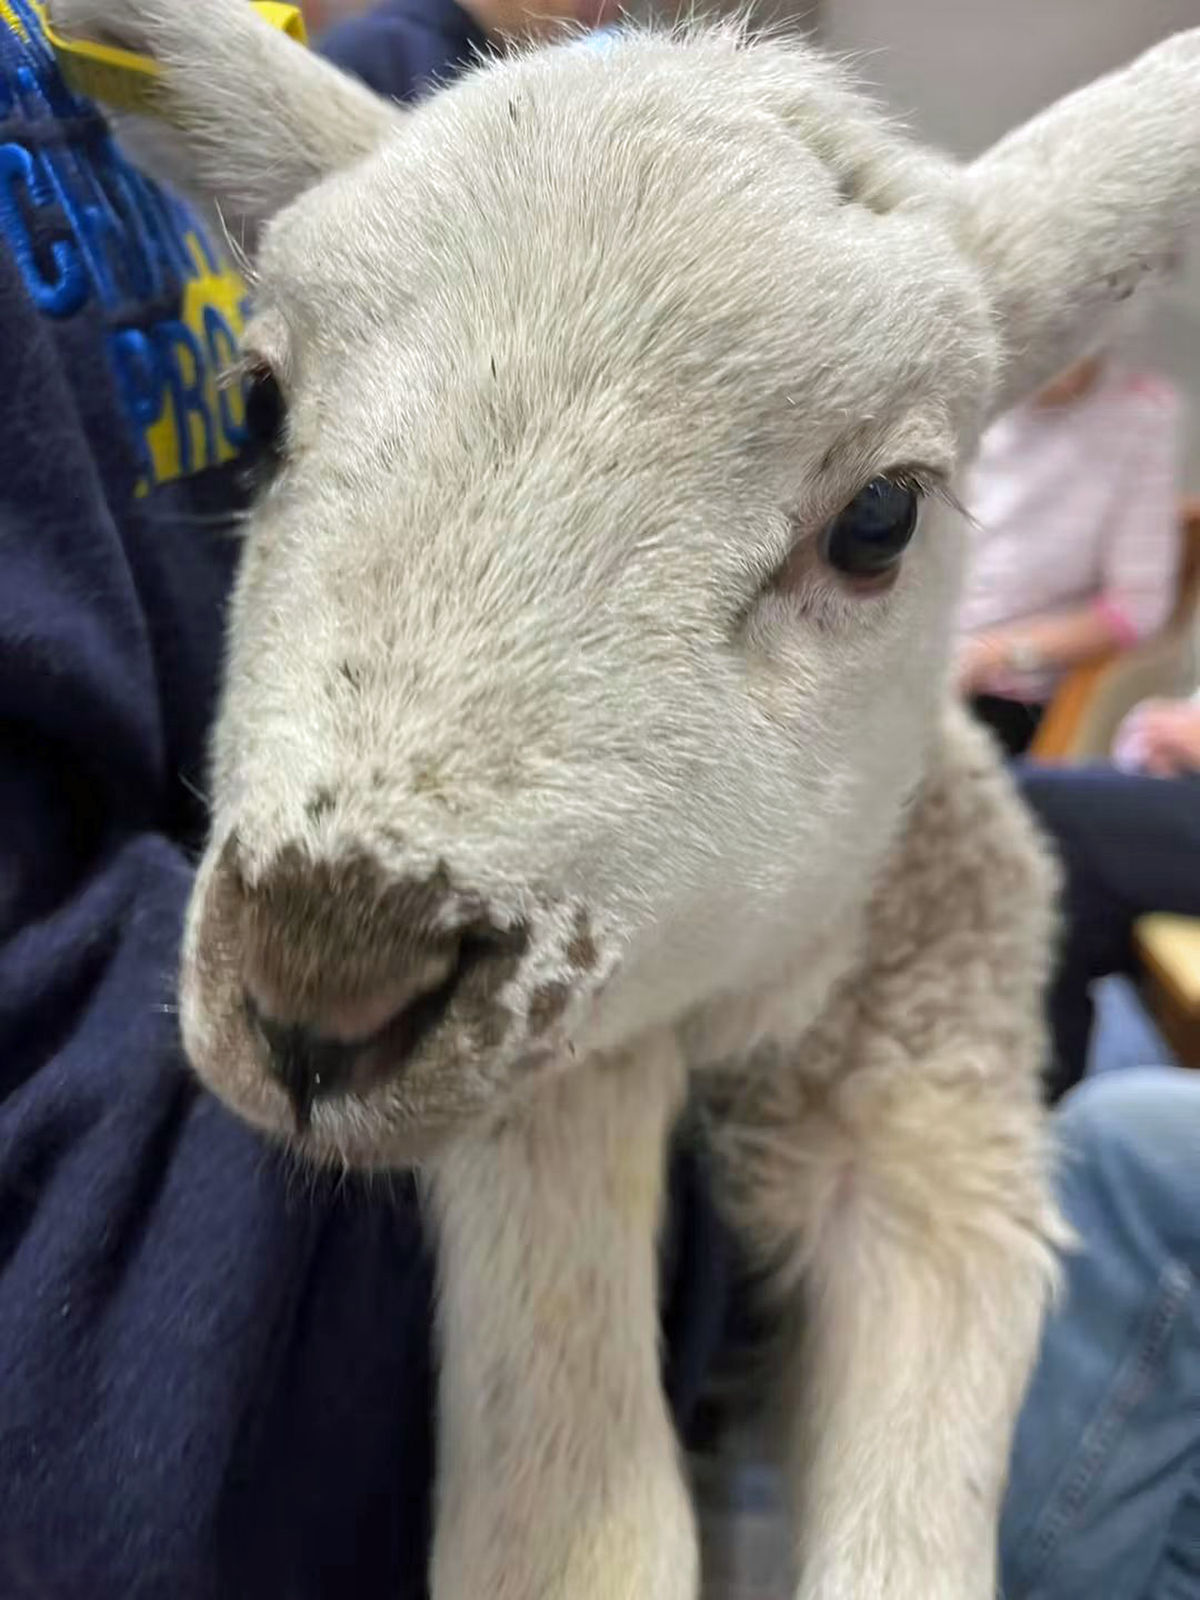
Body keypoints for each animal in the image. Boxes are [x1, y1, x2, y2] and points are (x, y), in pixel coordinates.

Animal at [48, 2, 1200, 1594]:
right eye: (262, 403)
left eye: (881, 518)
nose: (320, 990)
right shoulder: (567, 1087)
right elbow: (578, 1523)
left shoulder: (944, 1151)